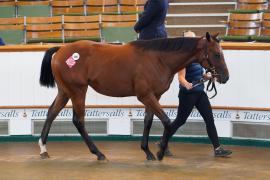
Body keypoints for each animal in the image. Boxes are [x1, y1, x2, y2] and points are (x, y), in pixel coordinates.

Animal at [38, 32, 228, 162]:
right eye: (217, 54)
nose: (225, 77)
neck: (158, 58)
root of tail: (62, 49)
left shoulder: (154, 96)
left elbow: (148, 121)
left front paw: (148, 151)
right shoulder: (145, 96)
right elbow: (167, 121)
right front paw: (160, 152)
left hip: (65, 92)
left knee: (51, 113)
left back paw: (43, 149)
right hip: (78, 91)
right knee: (78, 121)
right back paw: (99, 153)